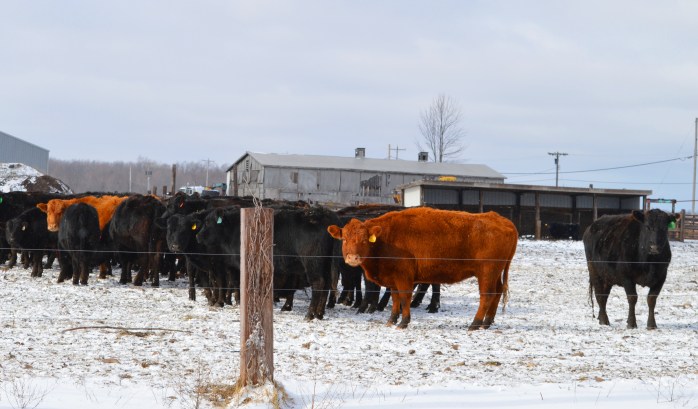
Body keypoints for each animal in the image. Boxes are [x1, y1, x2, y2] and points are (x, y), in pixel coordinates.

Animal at [328, 208, 518, 329]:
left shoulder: (404, 277)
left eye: (364, 240)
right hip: (495, 273)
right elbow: (395, 299)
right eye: (345, 239)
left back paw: (475, 324)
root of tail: (501, 219)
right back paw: (487, 323)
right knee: (497, 292)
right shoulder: (393, 279)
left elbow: (404, 298)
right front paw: (392, 320)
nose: (353, 258)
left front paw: (403, 322)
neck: (386, 238)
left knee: (487, 296)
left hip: (486, 272)